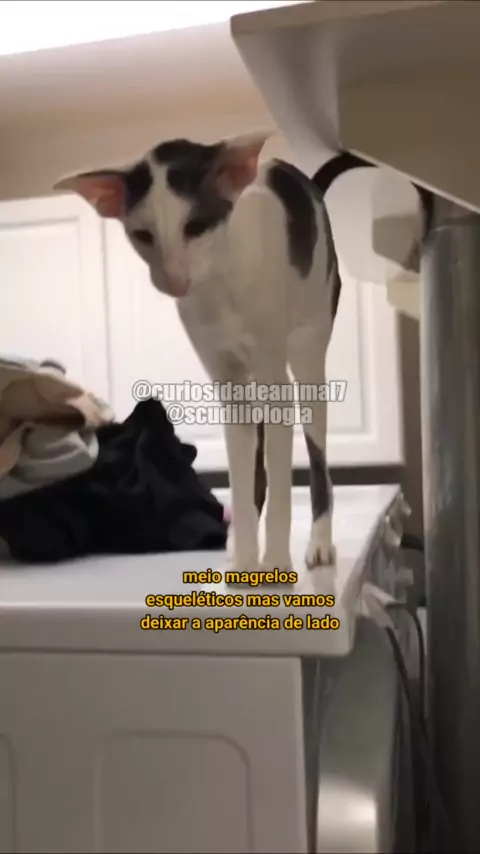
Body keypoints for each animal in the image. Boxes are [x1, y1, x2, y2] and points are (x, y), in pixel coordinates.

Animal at [54, 131, 340, 574]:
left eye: (196, 226)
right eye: (143, 235)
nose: (174, 280)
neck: (219, 282)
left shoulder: (273, 375)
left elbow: (281, 470)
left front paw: (274, 563)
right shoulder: (225, 375)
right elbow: (240, 466)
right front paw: (244, 561)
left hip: (310, 347)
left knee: (317, 454)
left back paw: (320, 542)